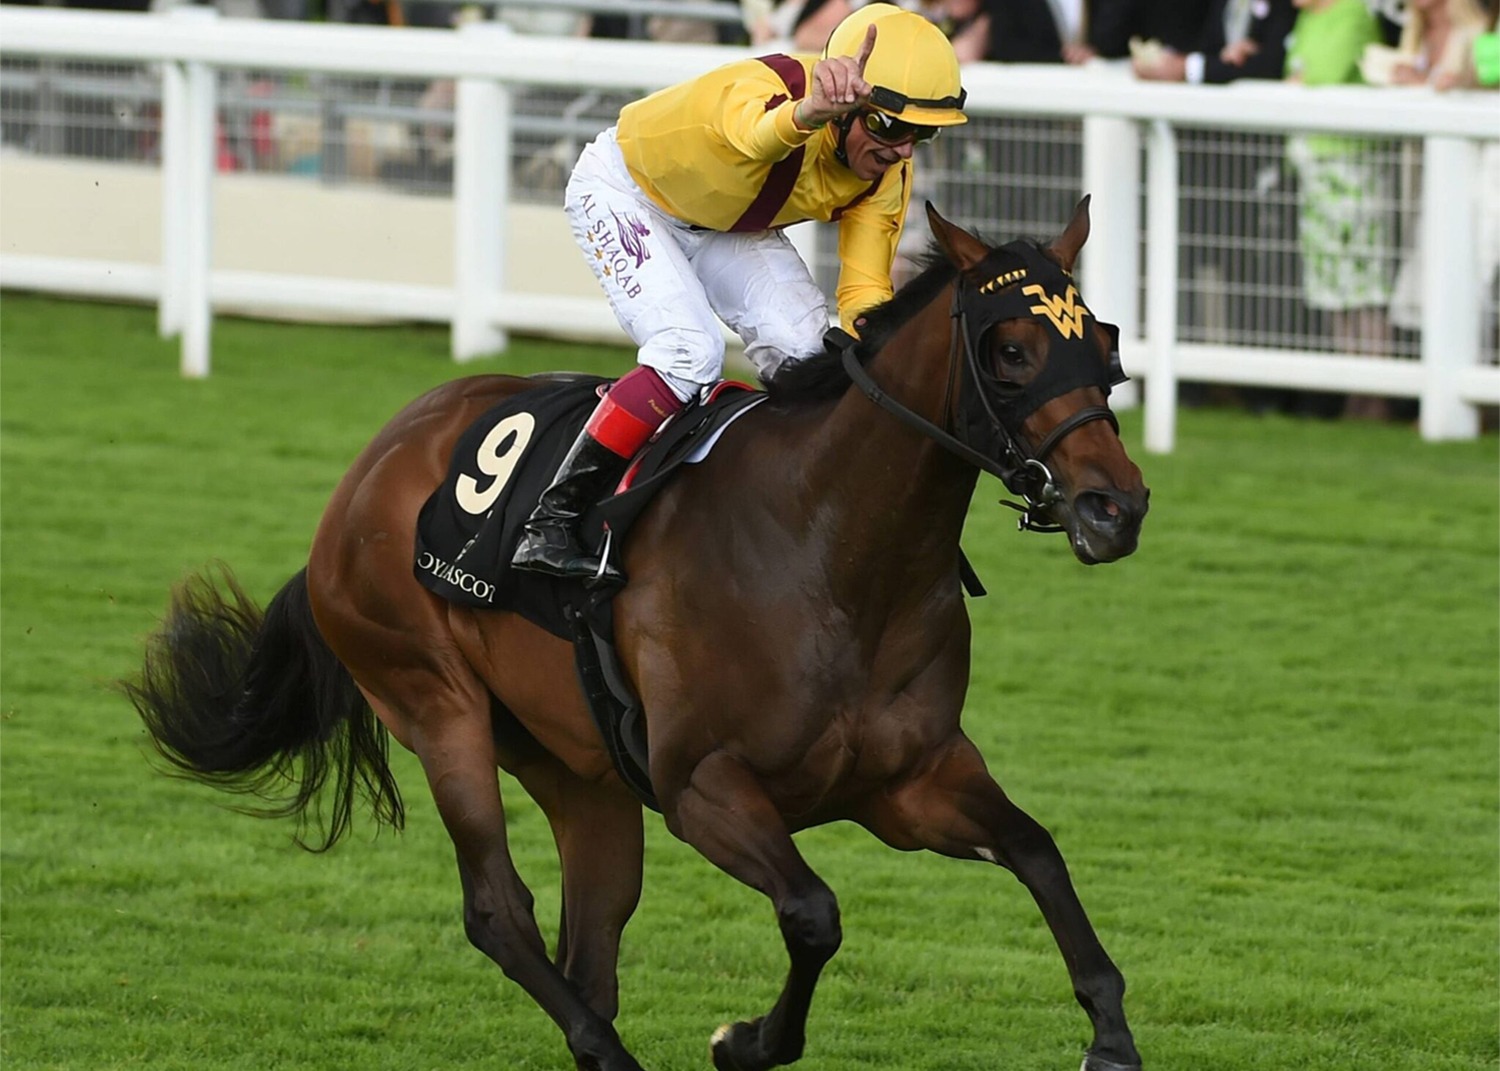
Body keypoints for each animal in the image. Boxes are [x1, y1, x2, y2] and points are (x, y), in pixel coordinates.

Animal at [124, 200, 1149, 1071]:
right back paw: (607, 1047)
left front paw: (1109, 1035)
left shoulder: (911, 780)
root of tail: (364, 475)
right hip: (434, 700)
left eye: (1103, 340)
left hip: (578, 769)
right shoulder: (702, 786)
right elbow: (813, 913)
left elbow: (1037, 851)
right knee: (499, 911)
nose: (1117, 506)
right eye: (1010, 347)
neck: (832, 549)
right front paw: (745, 1037)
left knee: (593, 932)